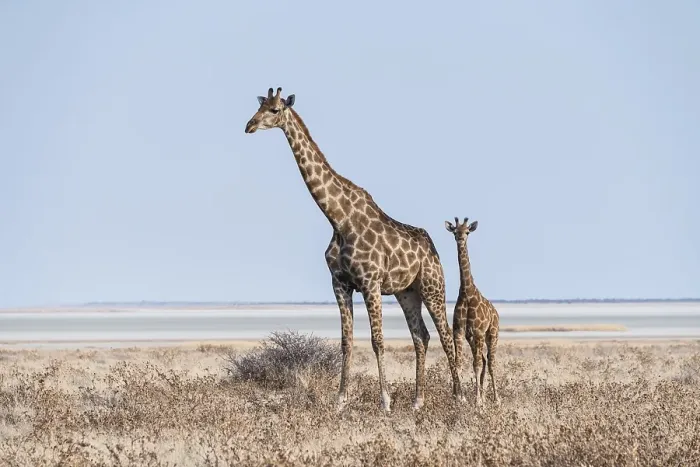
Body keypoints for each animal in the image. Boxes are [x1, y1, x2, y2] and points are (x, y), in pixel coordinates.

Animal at [245, 87, 464, 412]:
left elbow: (377, 340)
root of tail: (433, 248)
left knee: (445, 335)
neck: (338, 218)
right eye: (259, 106)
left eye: (274, 110)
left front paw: (385, 401)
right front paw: (340, 400)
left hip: (432, 286)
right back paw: (417, 401)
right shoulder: (340, 283)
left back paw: (460, 397)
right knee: (421, 336)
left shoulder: (370, 283)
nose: (249, 125)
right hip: (406, 292)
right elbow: (346, 342)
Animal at [445, 217, 500, 406]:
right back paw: (483, 395)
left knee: (490, 363)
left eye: (467, 231)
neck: (466, 293)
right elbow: (458, 364)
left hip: (492, 334)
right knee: (483, 360)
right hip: (472, 338)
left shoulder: (478, 332)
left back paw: (496, 399)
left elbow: (475, 365)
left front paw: (477, 402)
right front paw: (458, 399)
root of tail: (496, 313)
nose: (460, 239)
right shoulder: (459, 331)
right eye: (455, 231)